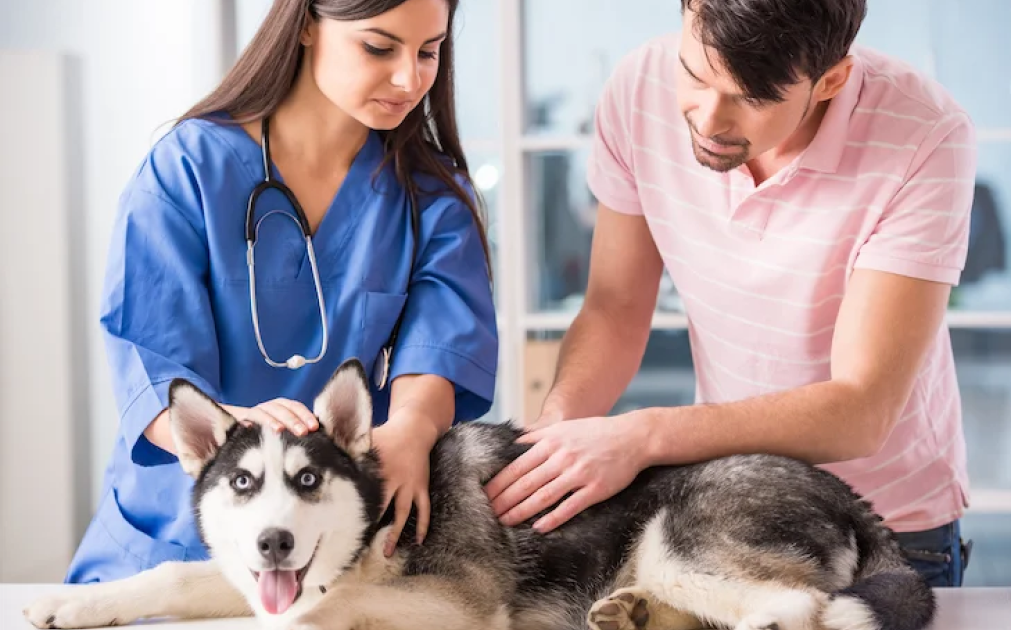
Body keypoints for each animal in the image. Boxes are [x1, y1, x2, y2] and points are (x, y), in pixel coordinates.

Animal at [25, 360, 938, 630]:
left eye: (309, 481)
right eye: (244, 485)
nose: (272, 543)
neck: (373, 530)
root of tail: (844, 491)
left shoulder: (456, 603)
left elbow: (328, 612)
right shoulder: (252, 579)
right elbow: (173, 576)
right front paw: (66, 604)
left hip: (677, 539)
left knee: (795, 608)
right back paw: (630, 614)